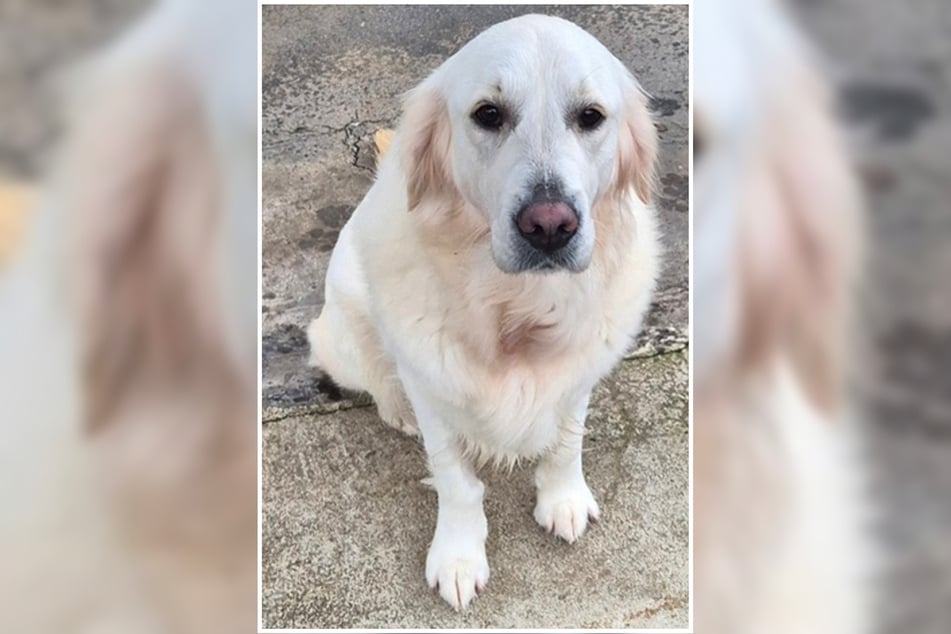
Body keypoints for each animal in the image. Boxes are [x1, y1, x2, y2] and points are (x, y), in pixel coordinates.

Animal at [308, 13, 660, 608]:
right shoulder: (433, 390)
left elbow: (566, 441)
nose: (549, 226)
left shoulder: (579, 371)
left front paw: (563, 499)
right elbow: (457, 481)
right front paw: (458, 556)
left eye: (590, 116)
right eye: (488, 114)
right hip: (345, 334)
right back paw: (396, 409)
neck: (515, 305)